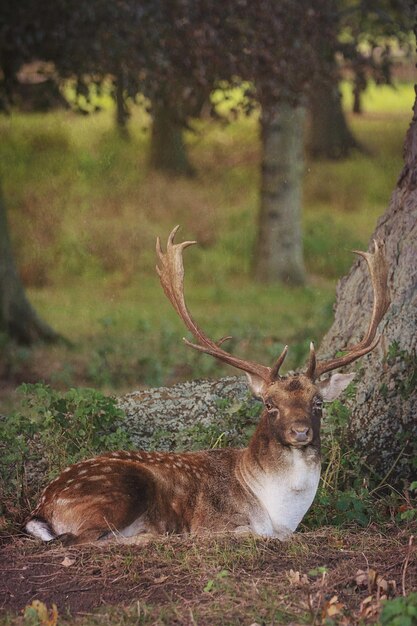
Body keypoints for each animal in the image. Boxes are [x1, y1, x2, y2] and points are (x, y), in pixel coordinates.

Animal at [23, 227, 390, 544]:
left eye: (318, 403)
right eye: (269, 404)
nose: (300, 431)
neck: (279, 511)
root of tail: (41, 507)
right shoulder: (213, 521)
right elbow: (255, 534)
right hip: (121, 490)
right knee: (78, 540)